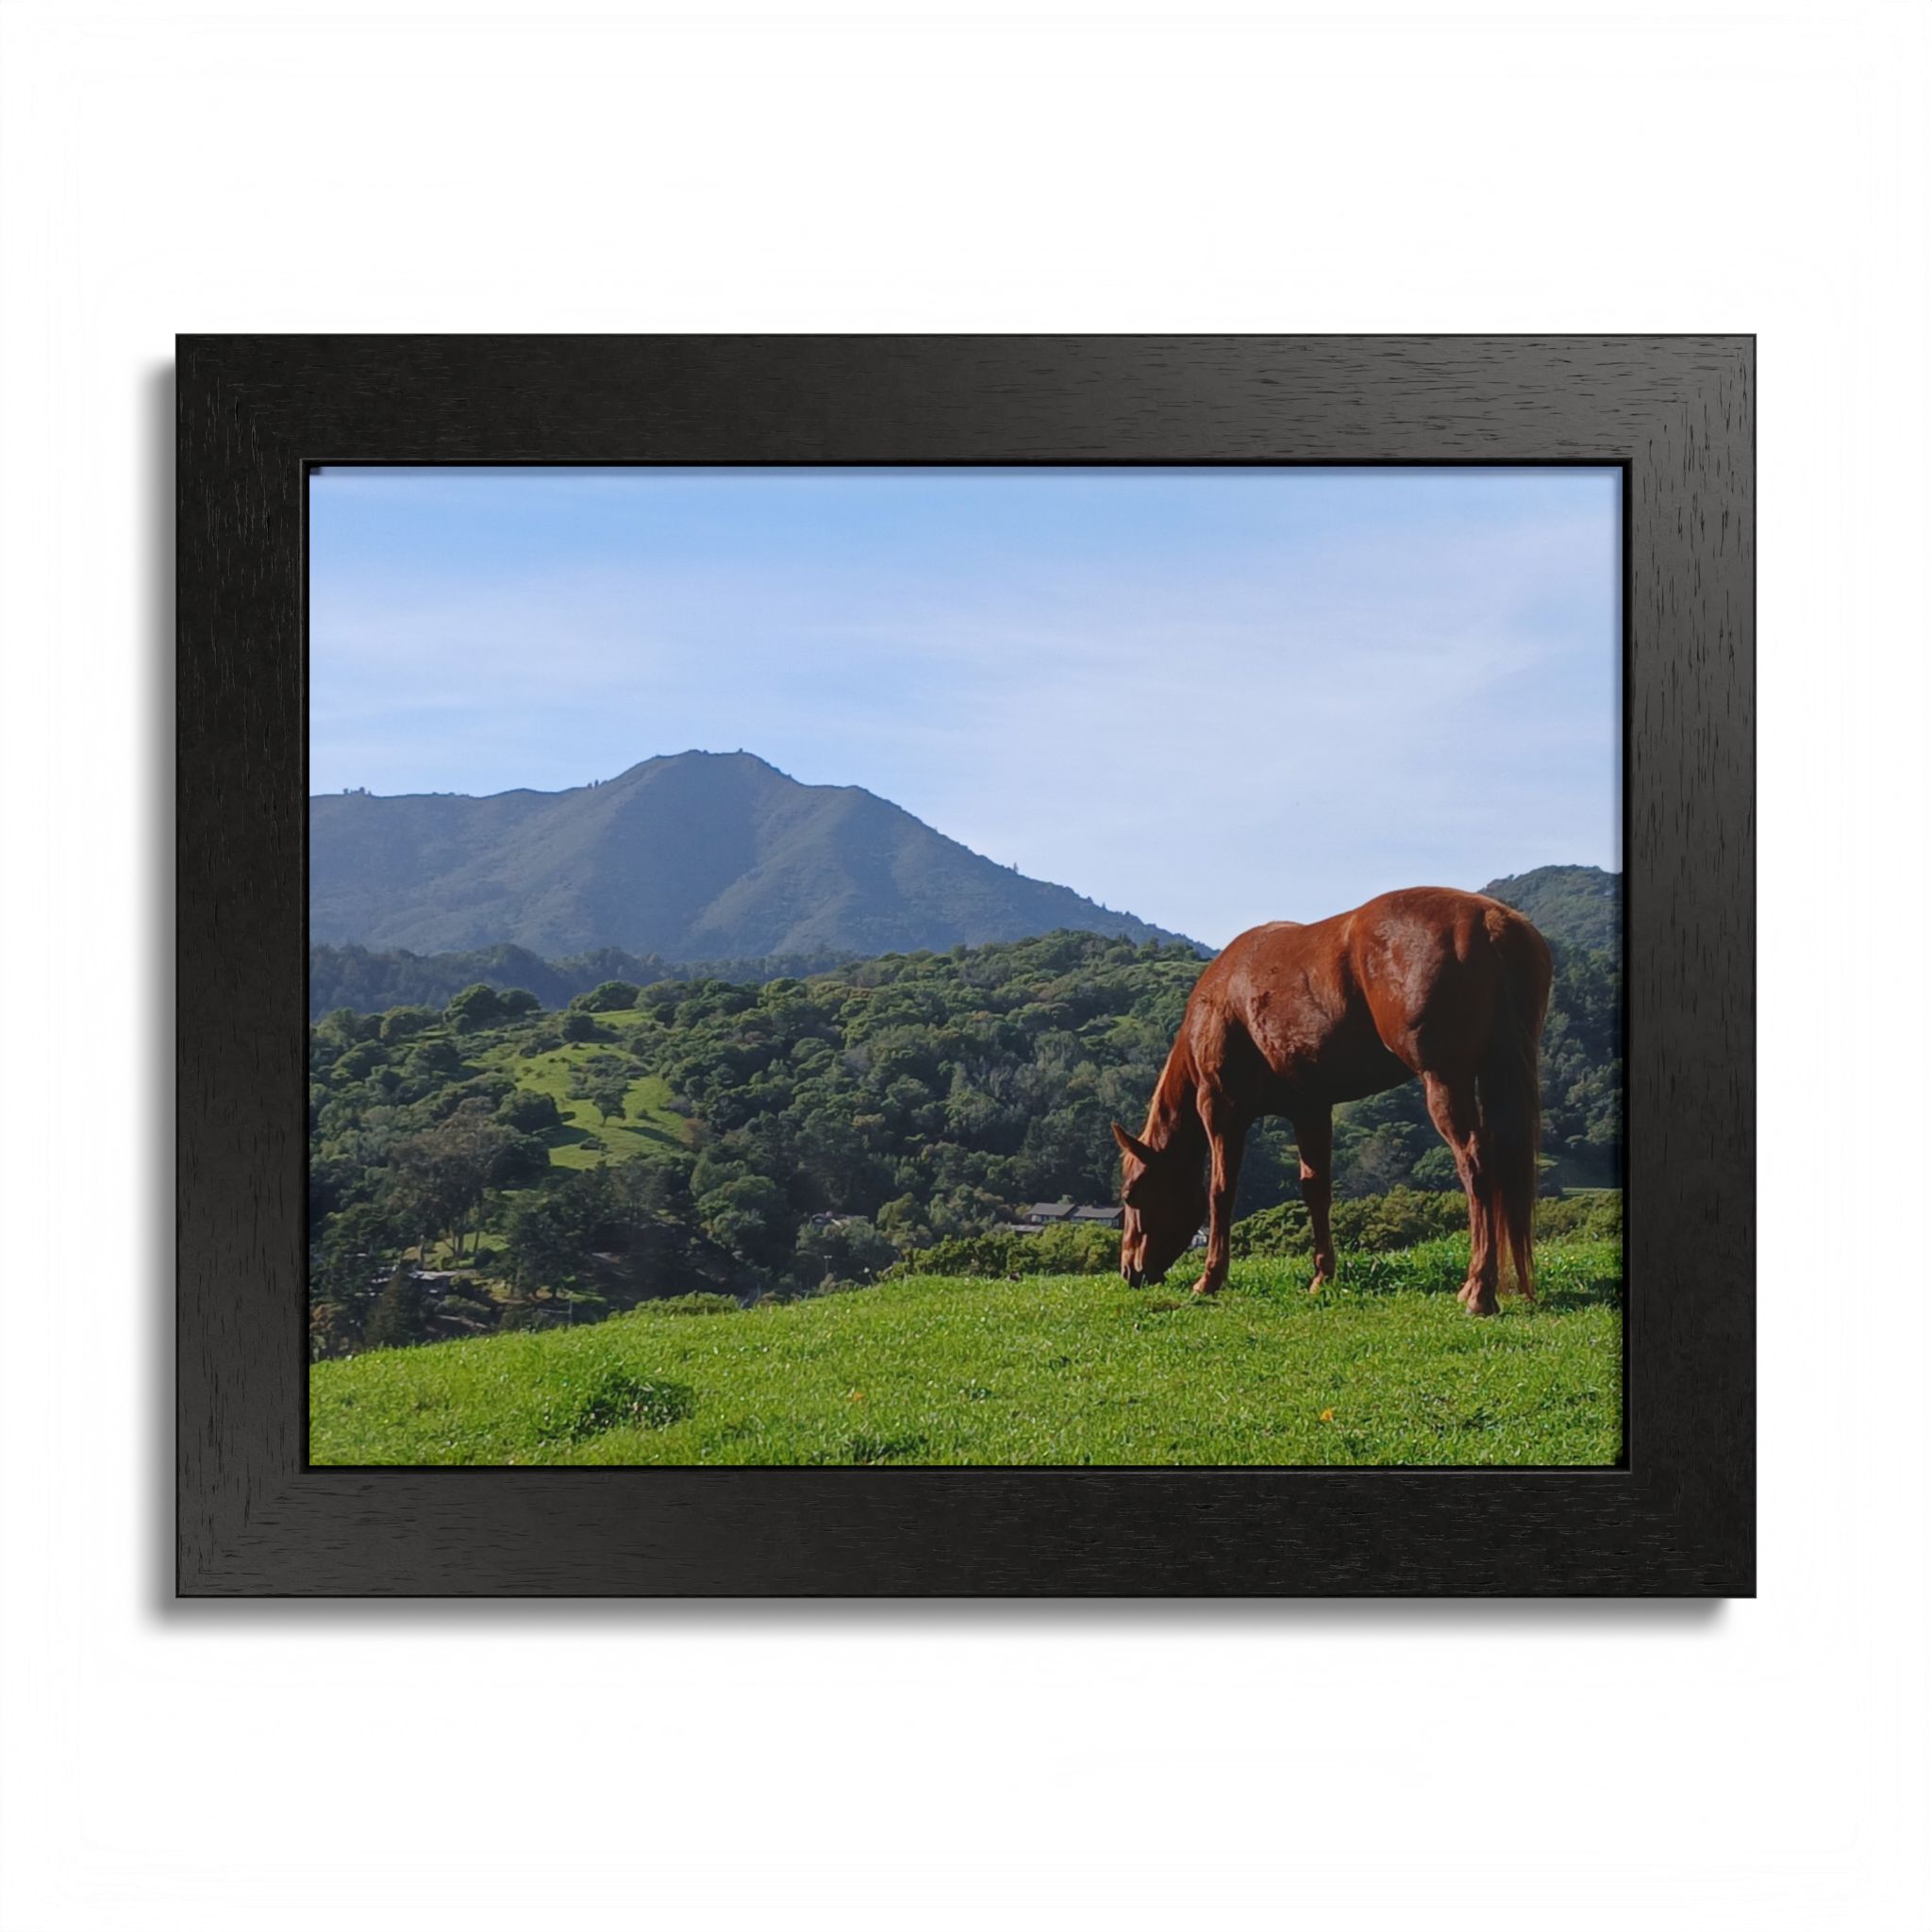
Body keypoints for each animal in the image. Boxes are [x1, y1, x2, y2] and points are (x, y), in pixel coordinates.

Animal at [1112, 887, 1553, 1316]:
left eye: (1131, 1195)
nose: (1129, 1272)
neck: (1221, 999)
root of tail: (1490, 921)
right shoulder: (1309, 1108)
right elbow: (1316, 1189)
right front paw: (1323, 1274)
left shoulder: (1221, 1108)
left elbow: (1221, 1191)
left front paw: (1210, 1279)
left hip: (1445, 1080)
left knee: (1475, 1163)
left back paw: (1479, 1290)